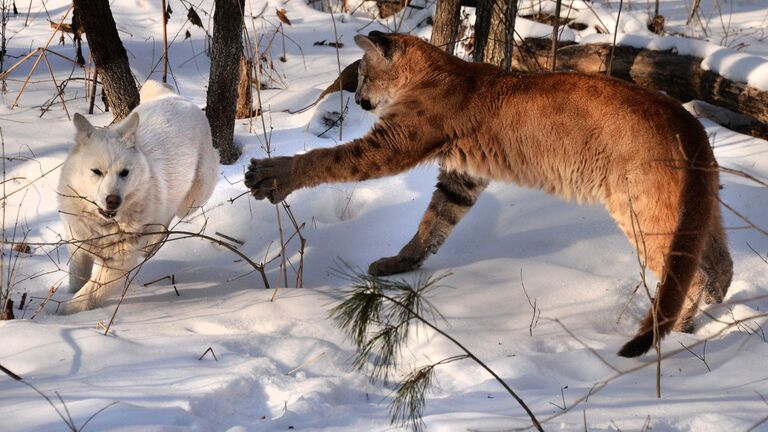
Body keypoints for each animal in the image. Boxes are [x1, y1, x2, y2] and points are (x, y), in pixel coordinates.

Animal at [57, 81, 218, 312]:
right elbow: (76, 281)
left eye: (124, 172)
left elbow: (84, 297)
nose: (113, 200)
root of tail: (176, 97)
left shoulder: (118, 263)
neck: (103, 226)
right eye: (96, 172)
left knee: (170, 218)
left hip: (192, 200)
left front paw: (57, 314)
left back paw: (152, 243)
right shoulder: (78, 244)